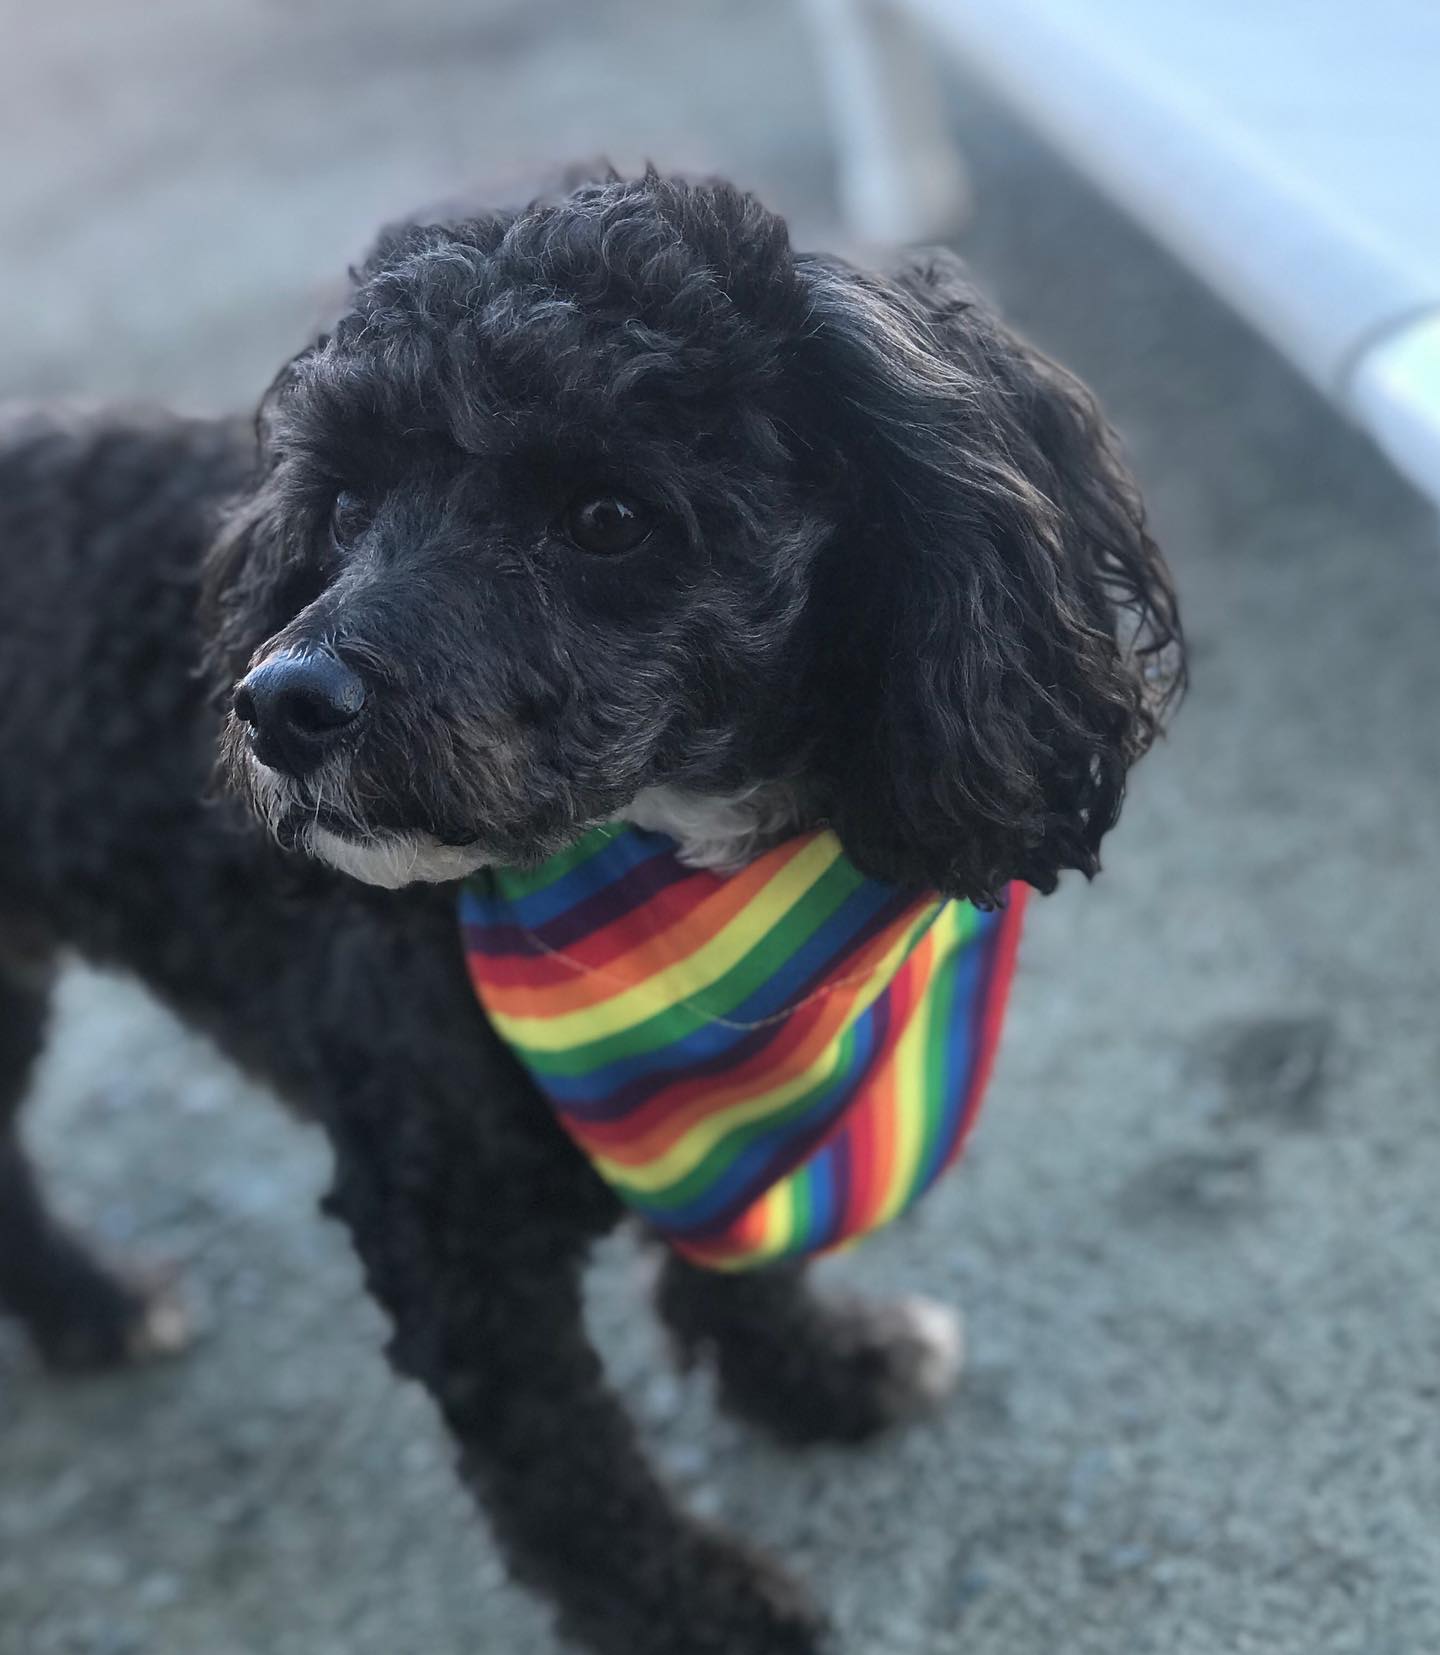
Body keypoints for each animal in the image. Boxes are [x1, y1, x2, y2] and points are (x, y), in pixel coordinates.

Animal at [0, 170, 1182, 1655]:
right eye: (345, 503)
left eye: (607, 517)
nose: (277, 703)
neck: (681, 873)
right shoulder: (446, 1225)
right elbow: (561, 1461)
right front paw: (689, 1606)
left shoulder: (754, 1098)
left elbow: (745, 1248)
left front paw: (817, 1371)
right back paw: (90, 1301)